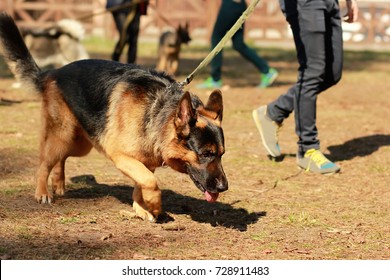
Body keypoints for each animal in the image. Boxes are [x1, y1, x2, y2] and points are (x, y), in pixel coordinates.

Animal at [0, 13, 227, 222]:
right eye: (206, 154)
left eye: (221, 154)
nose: (224, 187)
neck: (155, 109)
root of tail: (53, 72)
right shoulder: (121, 156)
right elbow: (150, 181)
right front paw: (154, 205)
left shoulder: (144, 161)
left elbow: (141, 183)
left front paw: (141, 208)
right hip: (62, 136)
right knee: (43, 163)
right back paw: (42, 192)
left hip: (80, 144)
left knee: (61, 158)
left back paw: (58, 183)